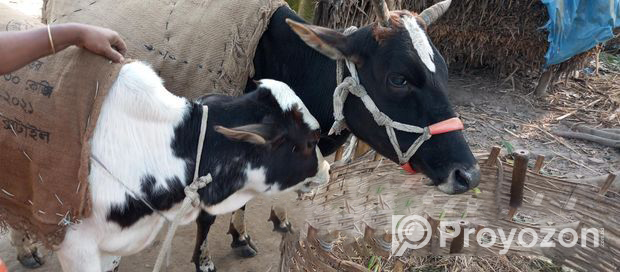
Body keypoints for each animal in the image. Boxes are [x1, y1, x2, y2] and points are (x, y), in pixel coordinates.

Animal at [191, 1, 482, 270]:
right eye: (398, 79)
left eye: (445, 73)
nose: (468, 175)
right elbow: (209, 213)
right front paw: (205, 260)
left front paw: (244, 234)